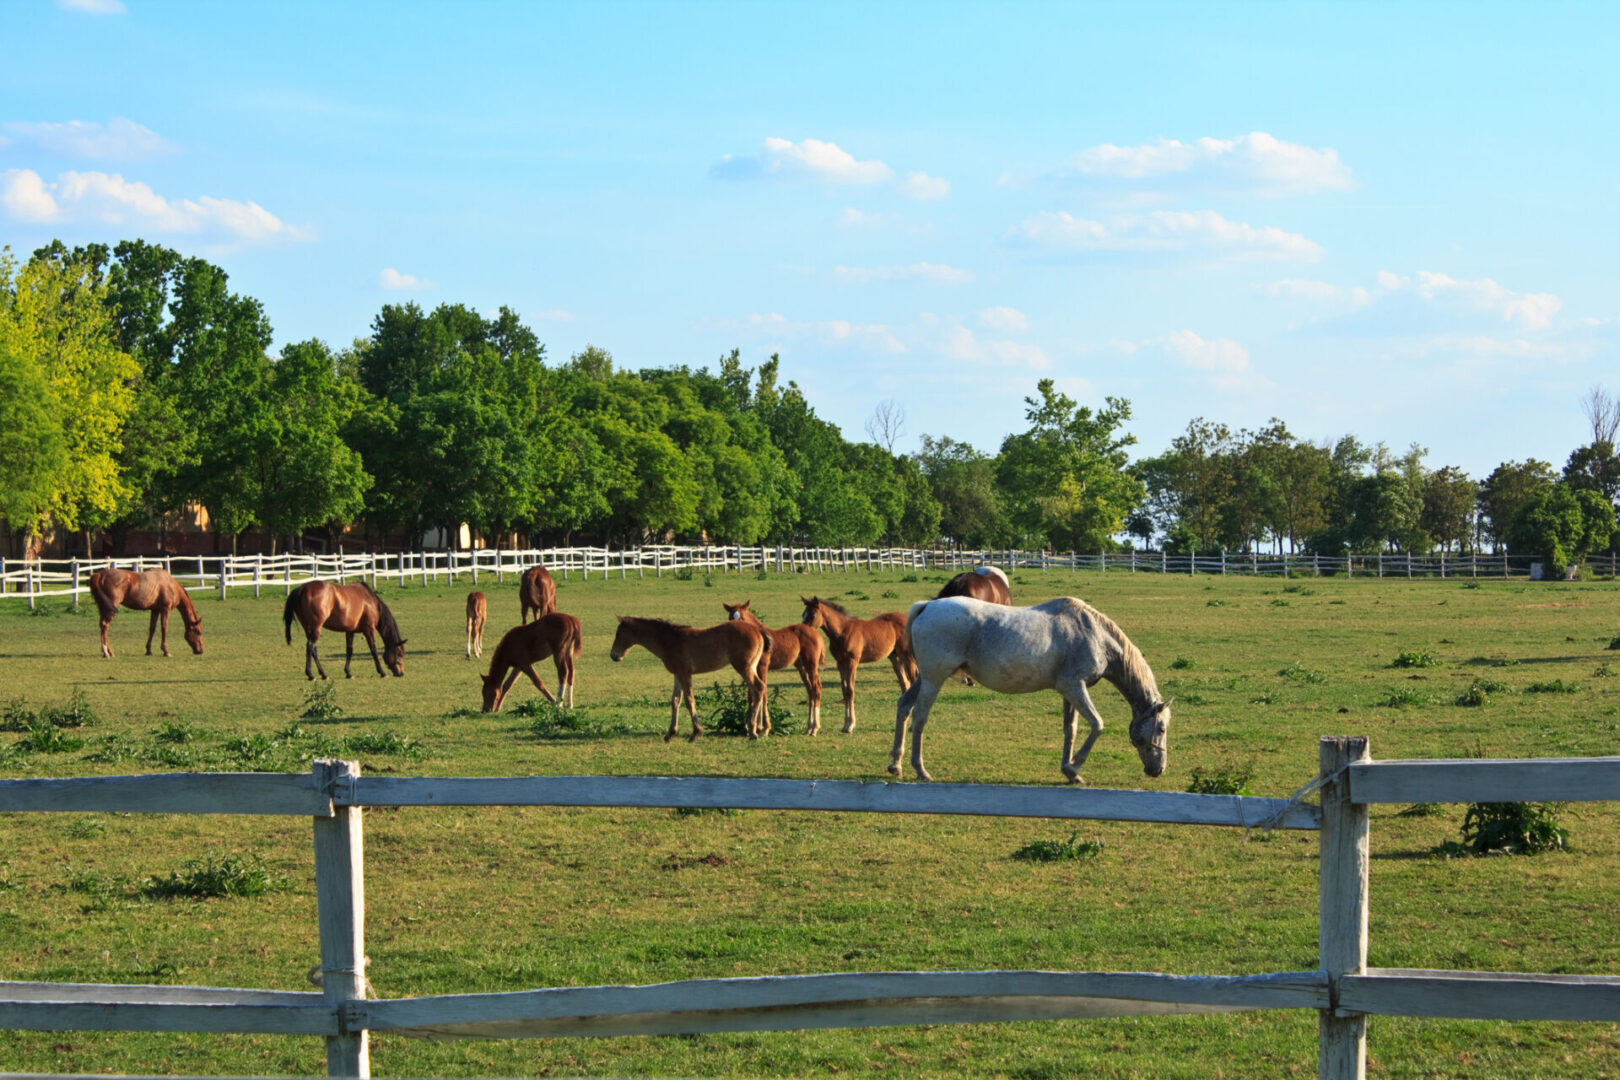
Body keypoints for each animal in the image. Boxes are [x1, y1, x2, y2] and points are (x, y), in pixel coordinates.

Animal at [609, 616, 772, 741]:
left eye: (619, 633)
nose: (614, 655)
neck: (670, 640)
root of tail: (758, 631)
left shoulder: (685, 674)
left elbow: (689, 700)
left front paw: (695, 733)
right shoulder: (677, 674)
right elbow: (675, 701)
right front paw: (670, 733)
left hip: (744, 667)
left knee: (758, 688)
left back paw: (752, 730)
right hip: (752, 666)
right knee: (760, 689)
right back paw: (759, 728)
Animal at [723, 600, 825, 735]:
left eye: (742, 617)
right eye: (730, 617)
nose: (736, 629)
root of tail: (816, 634)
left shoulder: (763, 666)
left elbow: (764, 692)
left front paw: (764, 728)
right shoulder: (752, 668)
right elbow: (751, 694)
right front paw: (751, 728)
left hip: (811, 664)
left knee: (817, 687)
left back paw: (814, 728)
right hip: (801, 667)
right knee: (810, 690)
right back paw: (808, 728)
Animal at [800, 597, 916, 734]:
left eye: (812, 615)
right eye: (803, 614)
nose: (803, 631)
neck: (842, 632)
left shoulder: (852, 662)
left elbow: (850, 690)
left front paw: (850, 725)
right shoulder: (840, 663)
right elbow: (844, 690)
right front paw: (845, 724)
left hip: (908, 657)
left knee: (913, 681)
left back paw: (912, 725)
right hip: (896, 658)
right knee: (905, 684)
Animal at [891, 595, 1172, 784]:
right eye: (1161, 728)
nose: (1158, 769)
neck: (1095, 635)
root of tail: (927, 606)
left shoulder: (1069, 692)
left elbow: (1071, 730)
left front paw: (1068, 771)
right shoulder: (1075, 687)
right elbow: (1097, 725)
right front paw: (1075, 768)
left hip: (924, 679)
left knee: (904, 706)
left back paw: (895, 764)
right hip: (934, 679)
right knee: (920, 718)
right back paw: (920, 770)